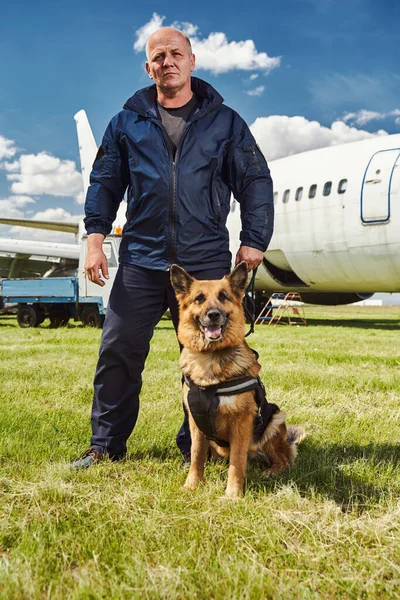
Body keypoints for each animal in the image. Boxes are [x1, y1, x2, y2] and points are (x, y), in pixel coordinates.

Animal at [170, 260, 304, 500]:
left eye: (223, 296)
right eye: (199, 298)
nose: (214, 315)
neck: (211, 359)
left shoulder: (241, 424)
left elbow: (237, 462)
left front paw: (232, 495)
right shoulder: (196, 424)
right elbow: (196, 457)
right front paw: (192, 486)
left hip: (274, 420)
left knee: (284, 459)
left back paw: (271, 470)